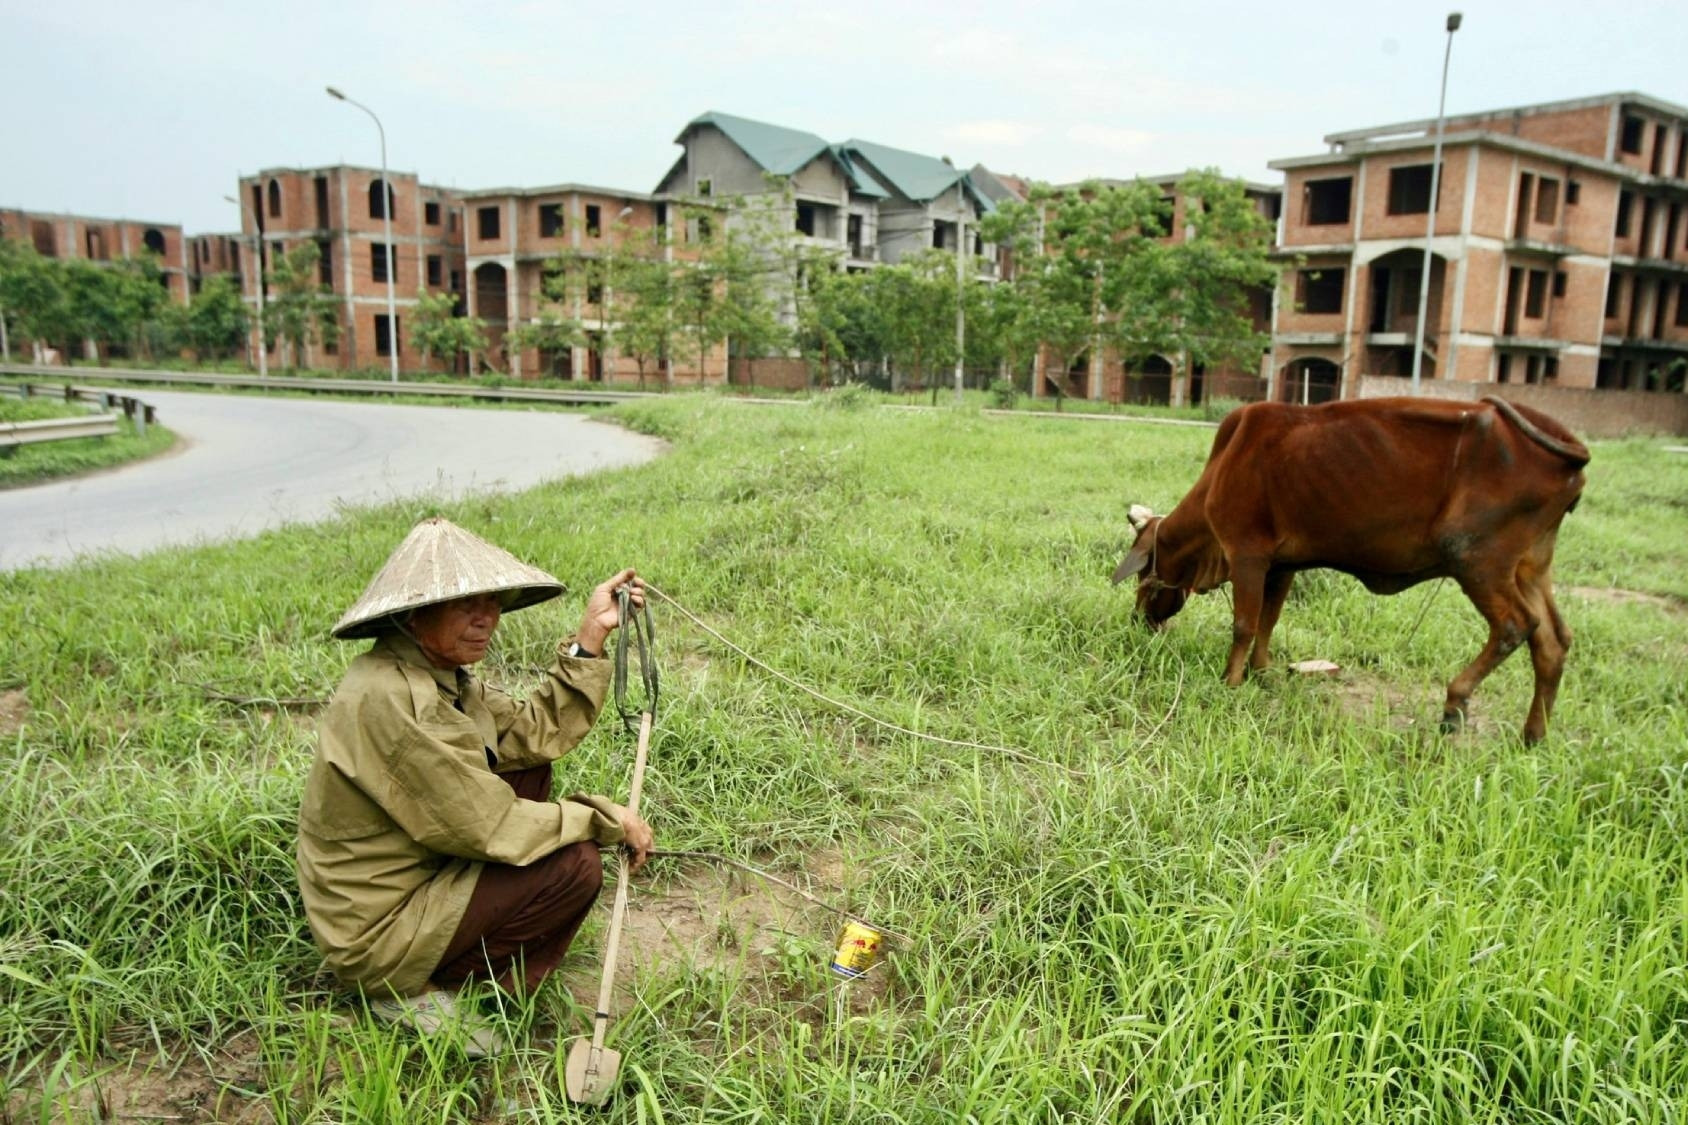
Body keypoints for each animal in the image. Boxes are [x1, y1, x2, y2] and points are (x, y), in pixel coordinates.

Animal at [1114, 390, 1586, 739]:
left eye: (1143, 576)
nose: (1139, 620)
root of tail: (1563, 442)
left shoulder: (1247, 554)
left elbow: (1244, 625)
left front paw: (1230, 682)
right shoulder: (1281, 566)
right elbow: (1269, 620)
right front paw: (1261, 673)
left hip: (1475, 558)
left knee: (1515, 626)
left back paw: (1455, 705)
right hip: (1530, 565)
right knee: (1552, 640)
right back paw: (1533, 734)